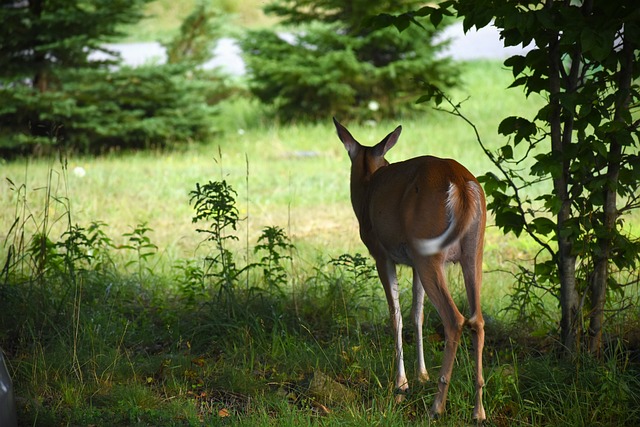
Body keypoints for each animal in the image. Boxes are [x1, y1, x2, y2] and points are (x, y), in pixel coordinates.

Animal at [332, 117, 488, 422]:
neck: (368, 187)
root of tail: (462, 184)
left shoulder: (382, 254)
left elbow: (396, 315)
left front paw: (401, 384)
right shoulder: (413, 263)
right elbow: (418, 314)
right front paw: (421, 375)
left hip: (430, 251)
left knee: (454, 319)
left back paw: (437, 407)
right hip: (473, 251)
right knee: (477, 319)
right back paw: (479, 410)